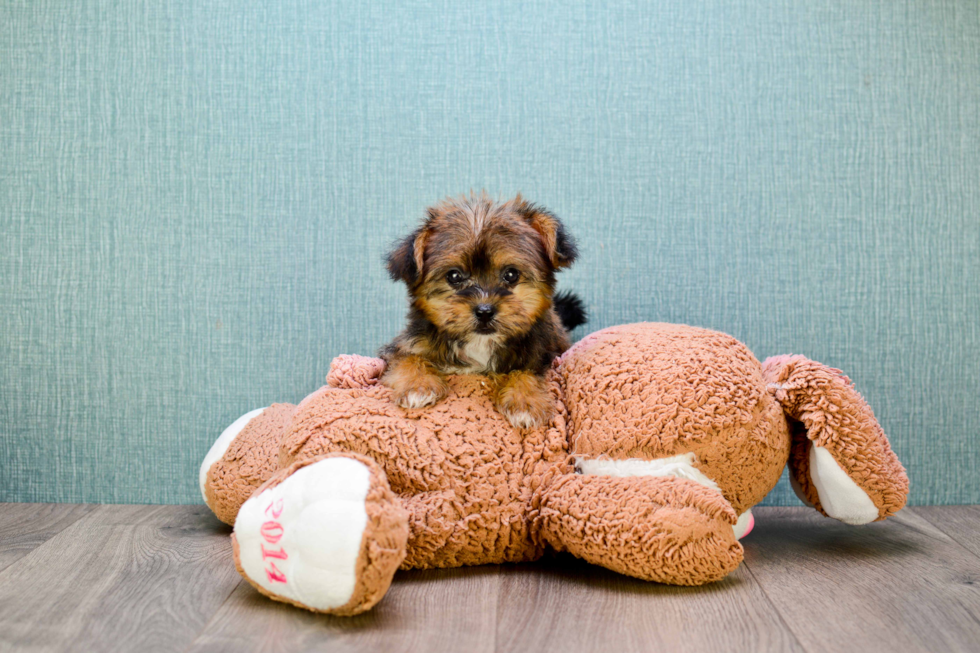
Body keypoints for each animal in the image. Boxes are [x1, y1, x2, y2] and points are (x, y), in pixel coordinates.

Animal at [378, 191, 584, 430]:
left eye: (511, 274)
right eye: (454, 276)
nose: (484, 311)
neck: (480, 344)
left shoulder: (540, 352)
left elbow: (525, 370)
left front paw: (524, 401)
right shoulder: (406, 343)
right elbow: (407, 358)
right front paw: (417, 386)